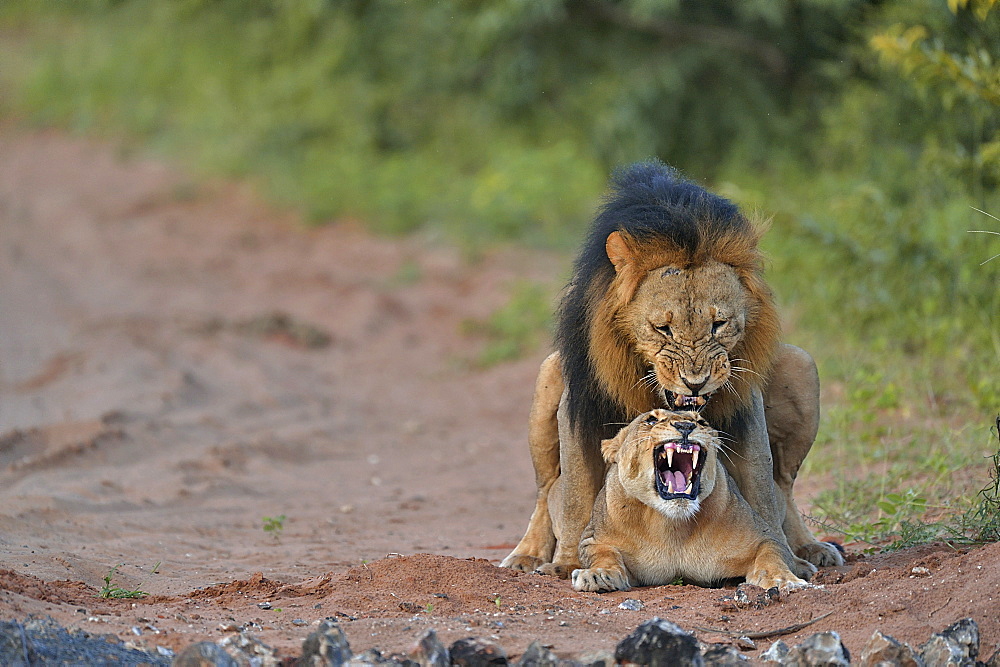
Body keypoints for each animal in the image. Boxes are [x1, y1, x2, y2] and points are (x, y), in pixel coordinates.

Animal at [572, 412, 804, 596]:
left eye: (700, 421)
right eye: (651, 419)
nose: (685, 426)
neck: (671, 526)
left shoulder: (764, 536)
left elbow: (771, 555)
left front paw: (783, 580)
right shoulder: (593, 538)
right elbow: (604, 553)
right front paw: (598, 575)